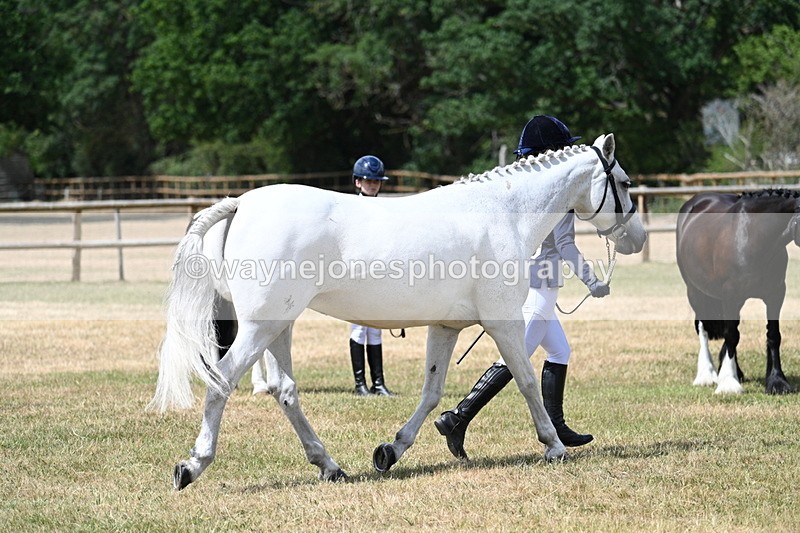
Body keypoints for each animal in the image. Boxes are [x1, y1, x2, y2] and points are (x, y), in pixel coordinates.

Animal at [149, 134, 647, 490]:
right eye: (623, 183)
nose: (638, 238)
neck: (500, 213)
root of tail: (242, 202)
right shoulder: (503, 320)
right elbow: (523, 377)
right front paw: (554, 446)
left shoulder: (446, 326)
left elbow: (432, 392)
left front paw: (391, 450)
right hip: (259, 328)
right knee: (222, 382)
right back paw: (192, 466)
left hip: (278, 327)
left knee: (284, 390)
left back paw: (330, 466)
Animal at [676, 189, 800, 395]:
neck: (754, 237)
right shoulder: (730, 296)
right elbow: (732, 335)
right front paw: (728, 383)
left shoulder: (775, 295)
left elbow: (773, 335)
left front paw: (776, 381)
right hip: (695, 292)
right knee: (703, 329)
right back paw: (706, 375)